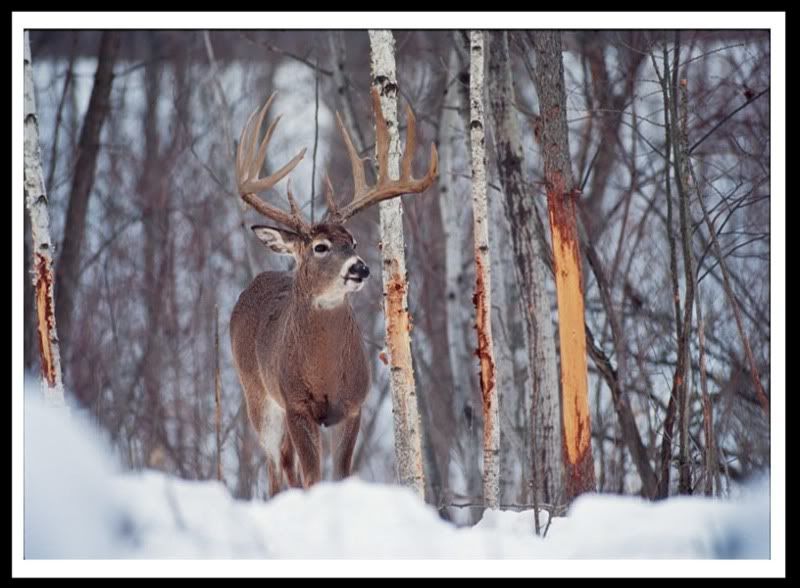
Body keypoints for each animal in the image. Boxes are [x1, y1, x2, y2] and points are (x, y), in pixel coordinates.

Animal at [228, 86, 440, 492]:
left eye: (353, 241)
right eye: (320, 246)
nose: (360, 268)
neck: (323, 370)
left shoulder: (353, 405)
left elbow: (340, 474)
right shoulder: (296, 404)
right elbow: (312, 477)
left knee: (284, 465)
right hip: (257, 396)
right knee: (276, 468)